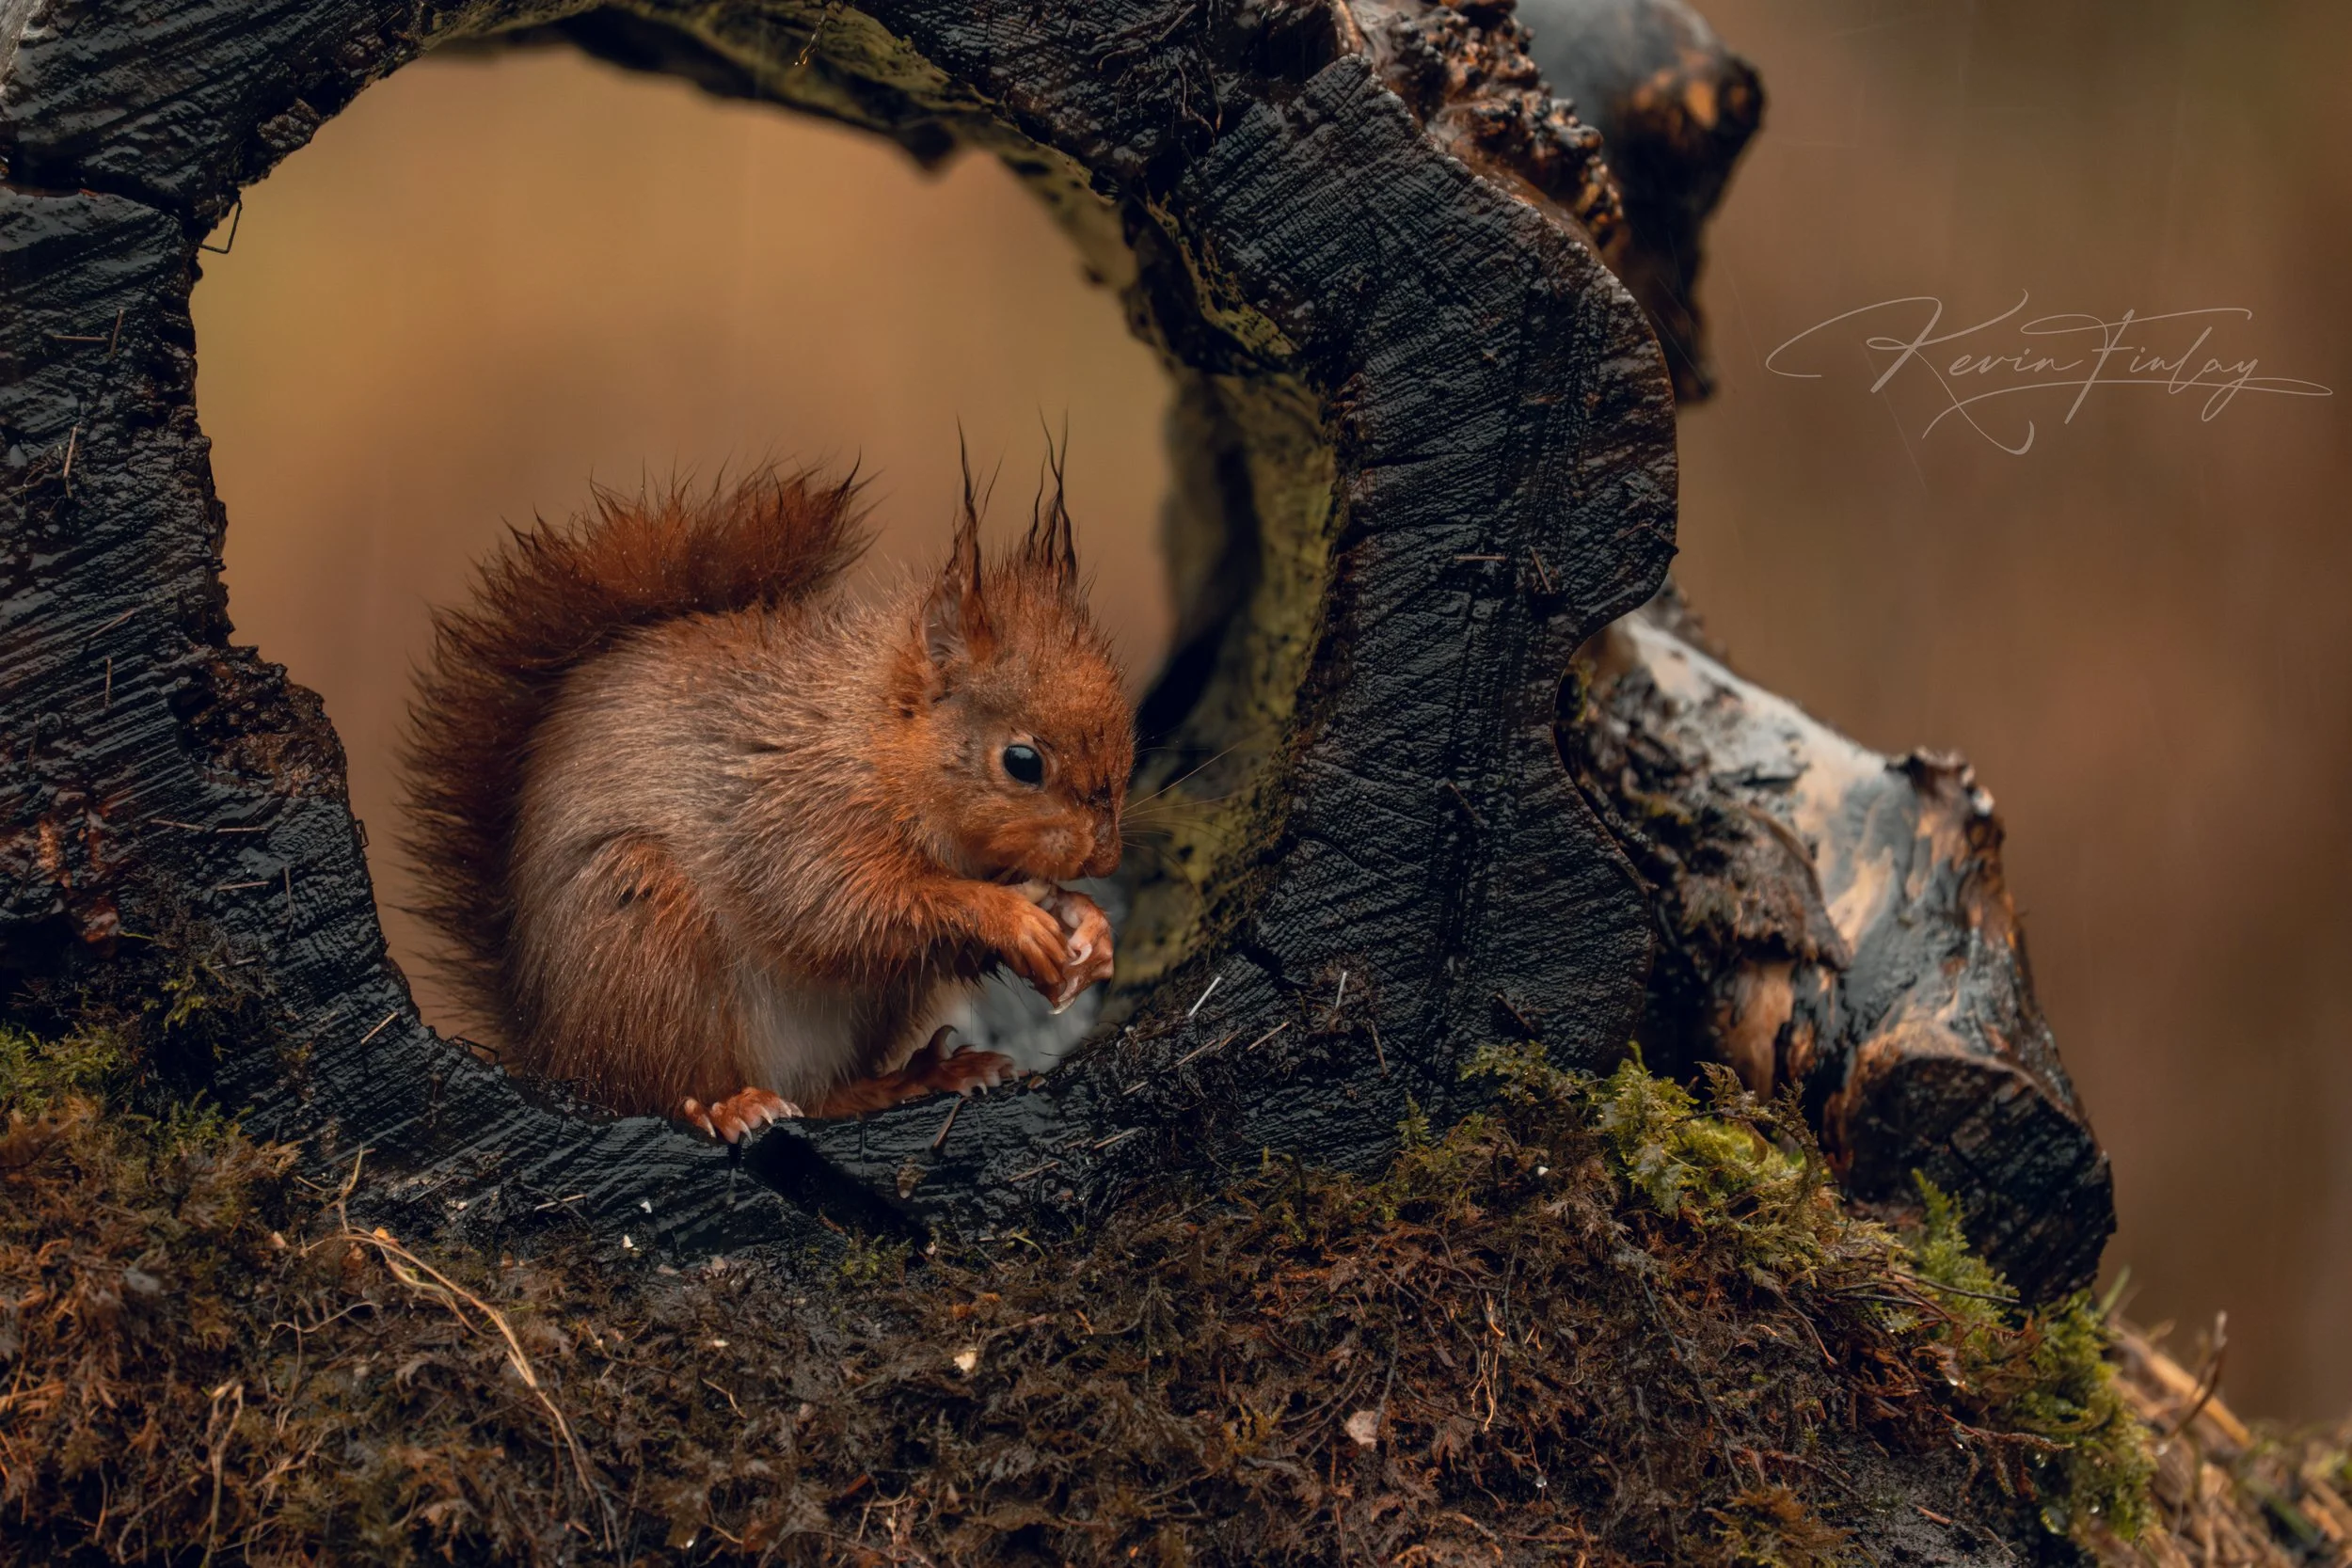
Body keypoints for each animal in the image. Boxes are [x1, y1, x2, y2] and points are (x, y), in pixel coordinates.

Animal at [399, 461, 1132, 1142]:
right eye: (1022, 762)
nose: (1104, 856)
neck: (876, 745)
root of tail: (549, 1047)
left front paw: (1088, 925)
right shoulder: (798, 818)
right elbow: (843, 912)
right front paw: (1009, 917)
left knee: (824, 1097)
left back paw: (917, 1076)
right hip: (642, 940)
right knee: (652, 1089)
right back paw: (726, 1105)